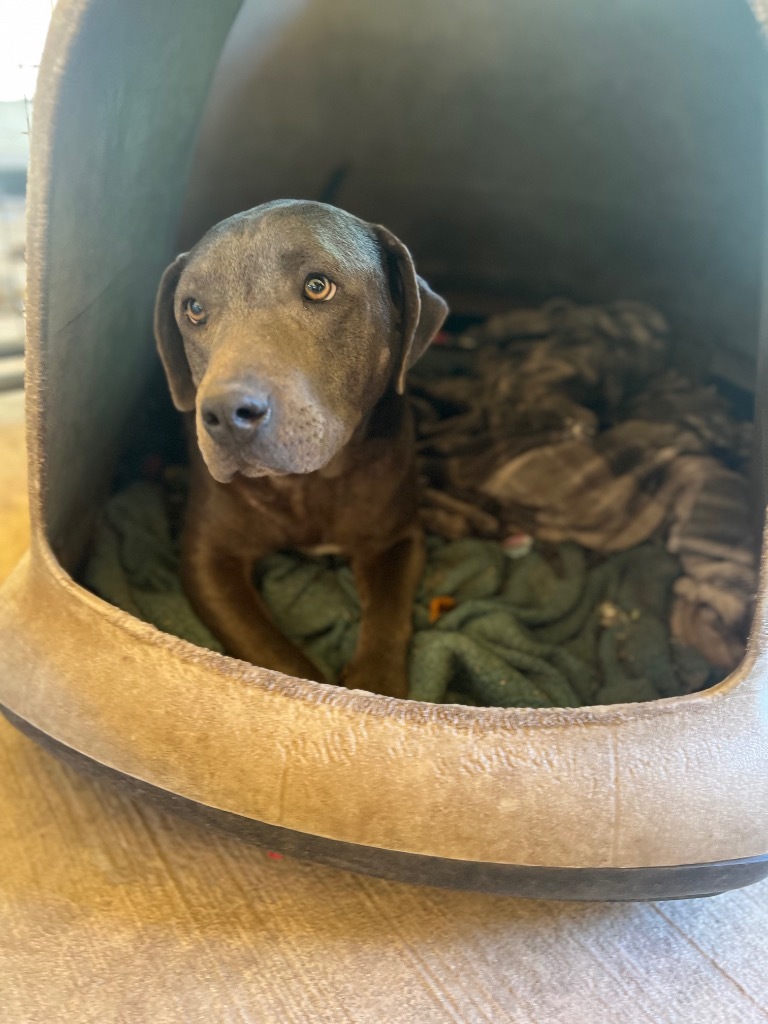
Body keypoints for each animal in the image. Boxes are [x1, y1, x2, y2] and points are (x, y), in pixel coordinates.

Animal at [153, 199, 448, 696]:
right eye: (193, 308)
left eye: (318, 286)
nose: (226, 414)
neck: (308, 485)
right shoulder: (208, 558)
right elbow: (275, 657)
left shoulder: (397, 537)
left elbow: (389, 619)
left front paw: (375, 690)